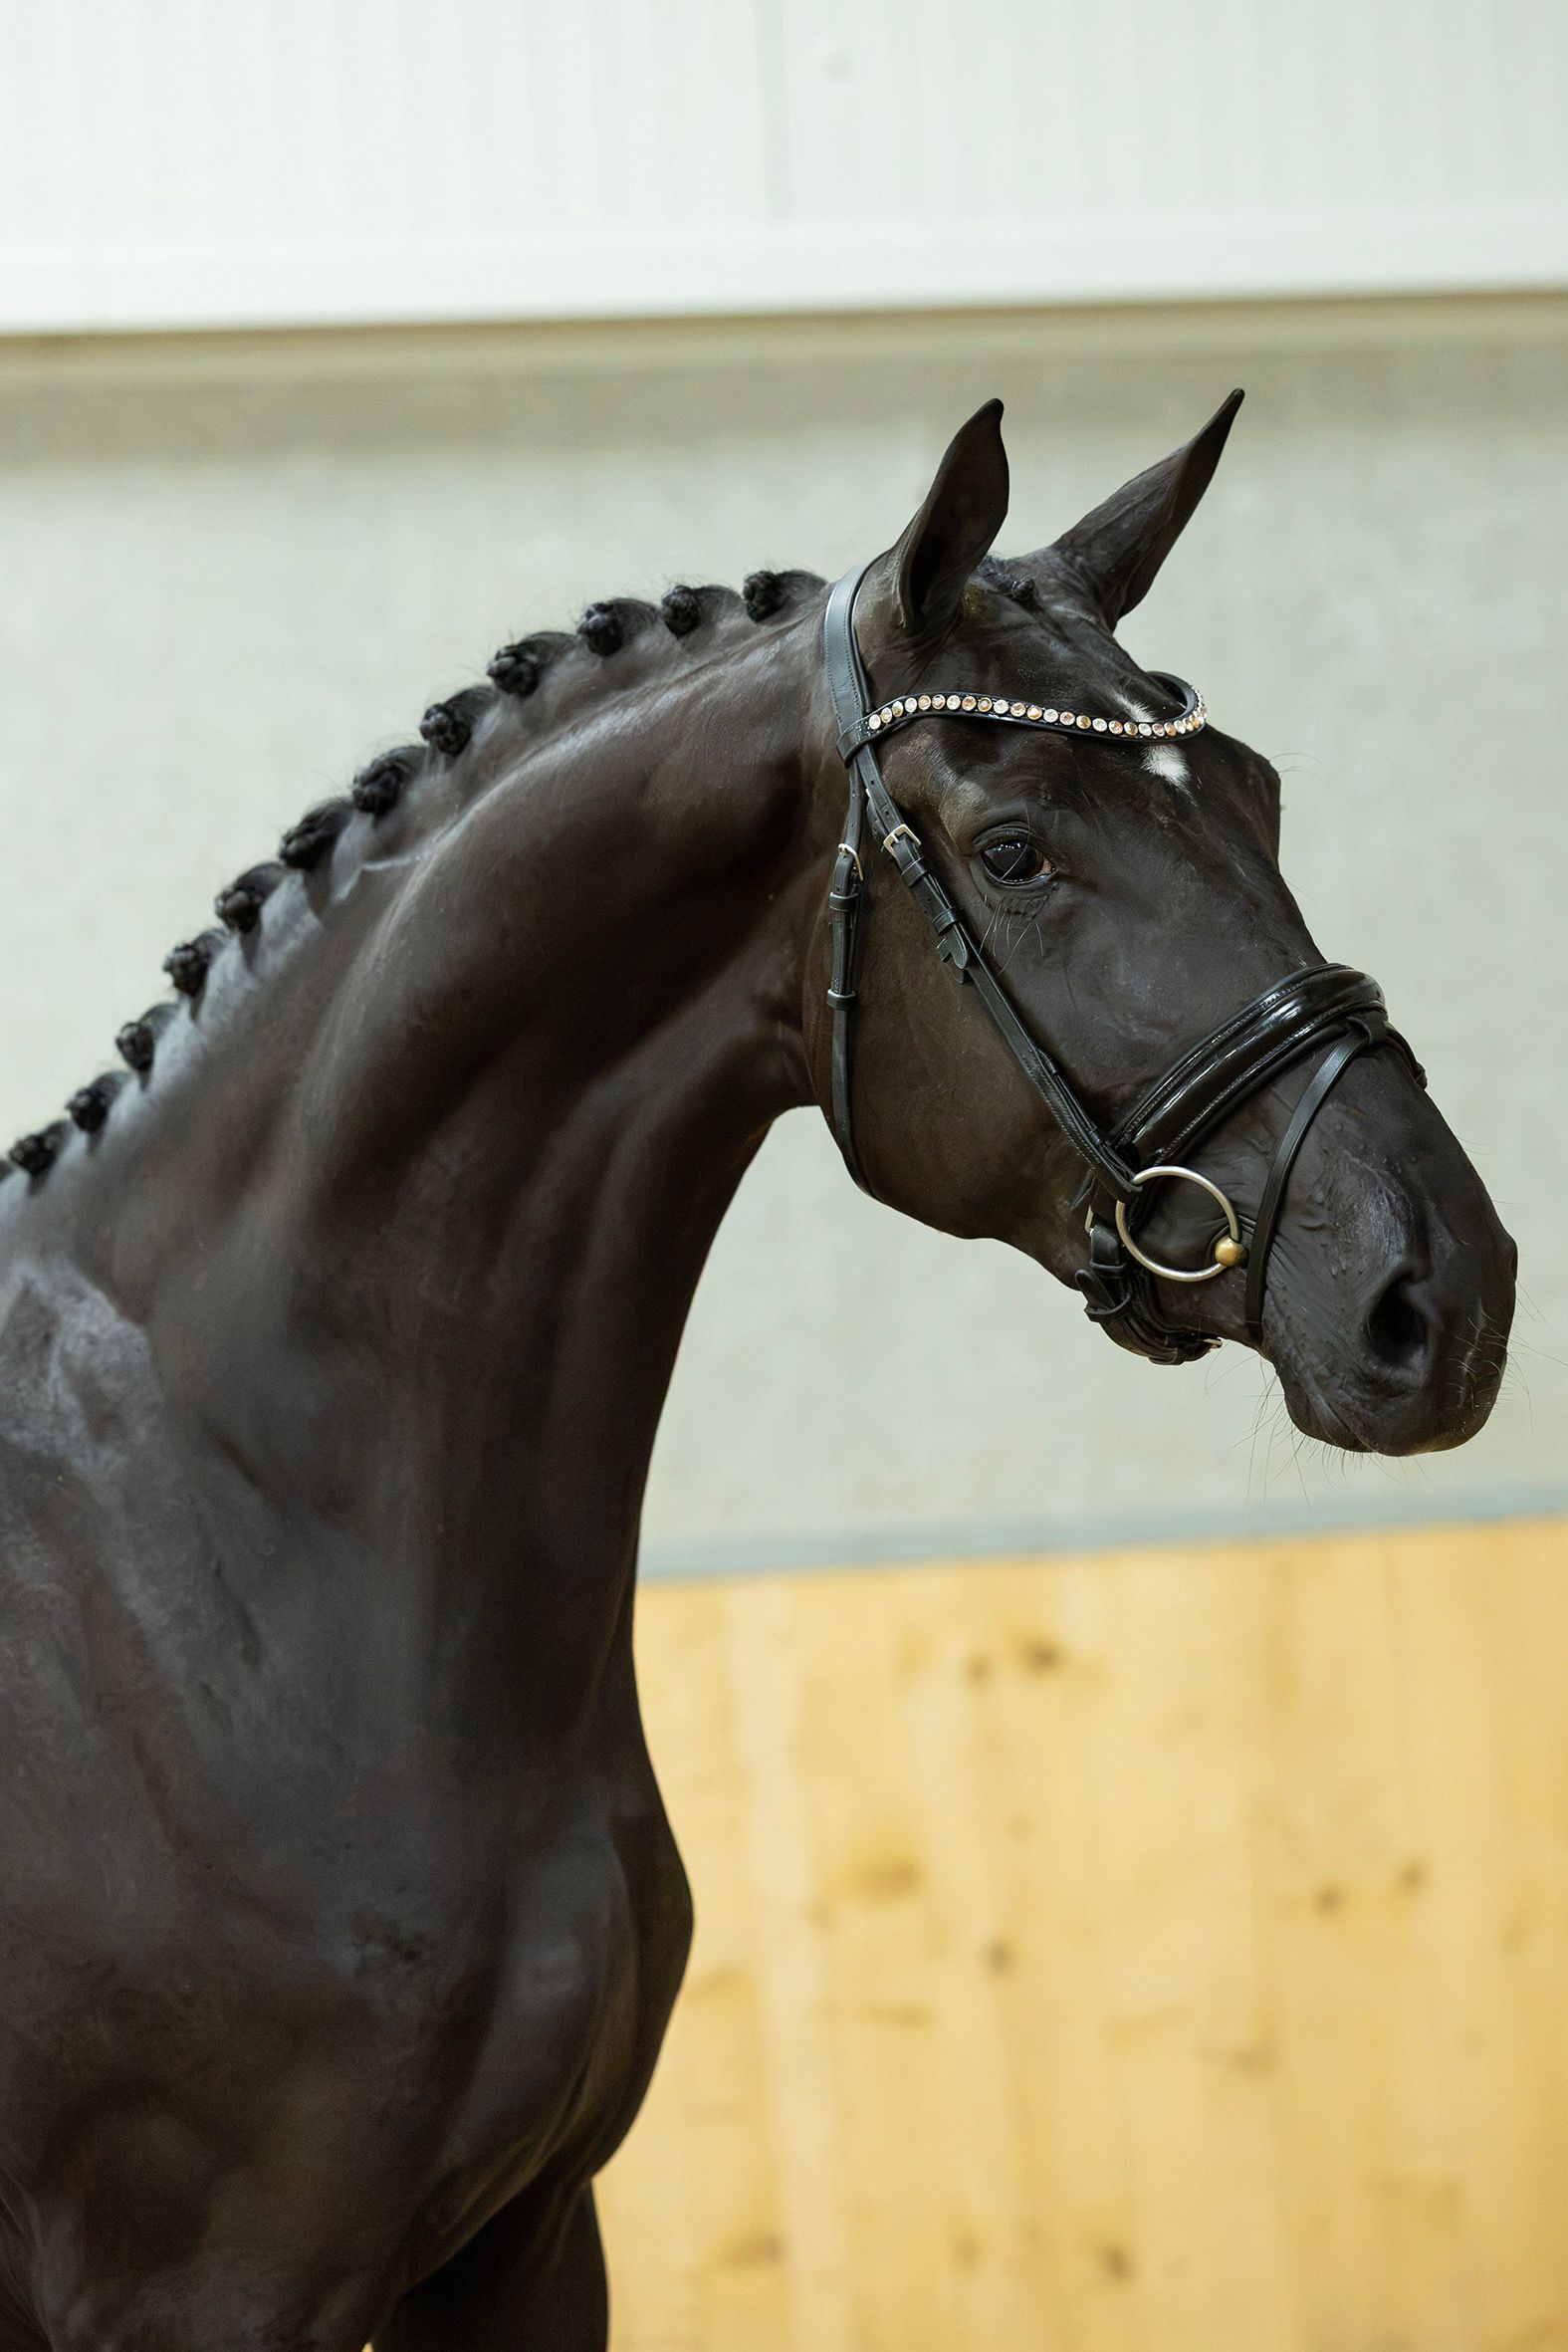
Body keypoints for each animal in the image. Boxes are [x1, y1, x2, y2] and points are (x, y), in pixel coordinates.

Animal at [0, 394, 1515, 2349]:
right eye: (1015, 849)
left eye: (1254, 791)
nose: (1443, 1292)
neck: (223, 1559)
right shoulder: (207, 2288)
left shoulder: (528, 2245)